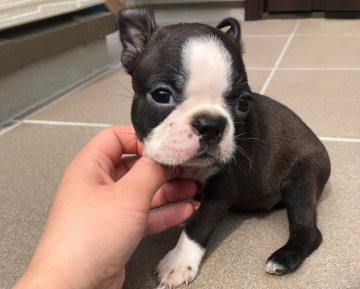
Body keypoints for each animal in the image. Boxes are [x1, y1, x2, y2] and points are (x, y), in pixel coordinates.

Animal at [116, 7, 330, 286]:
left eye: (243, 102)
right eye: (161, 96)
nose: (211, 125)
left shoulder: (224, 187)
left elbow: (198, 225)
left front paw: (179, 262)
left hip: (302, 177)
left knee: (308, 228)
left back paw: (283, 258)